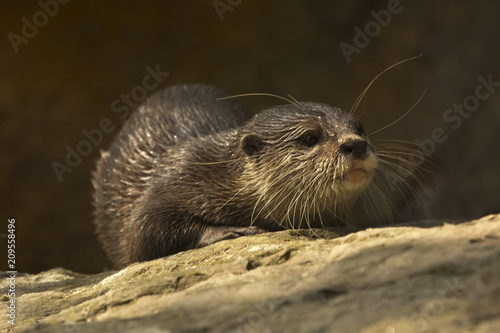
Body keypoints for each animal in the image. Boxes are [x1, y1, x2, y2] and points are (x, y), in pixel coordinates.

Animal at [92, 83, 378, 268]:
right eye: (310, 137)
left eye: (359, 128)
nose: (356, 144)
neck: (221, 178)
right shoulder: (177, 176)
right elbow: (141, 233)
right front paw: (229, 230)